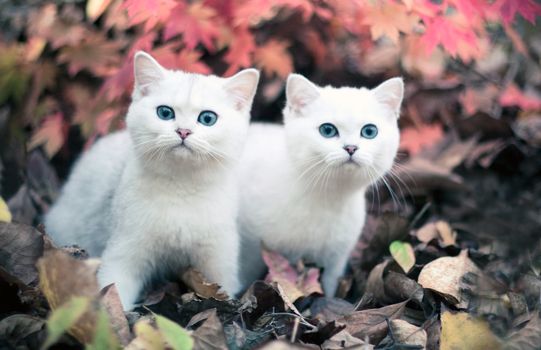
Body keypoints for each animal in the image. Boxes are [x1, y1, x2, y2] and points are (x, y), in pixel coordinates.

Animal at [44, 51, 260, 308]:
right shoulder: (125, 247)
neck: (182, 187)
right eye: (165, 113)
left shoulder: (218, 255)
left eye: (208, 118)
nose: (183, 131)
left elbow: (224, 288)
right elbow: (114, 289)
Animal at [237, 74, 400, 296]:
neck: (327, 199)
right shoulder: (250, 247)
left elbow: (329, 287)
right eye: (328, 130)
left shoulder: (335, 259)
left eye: (369, 131)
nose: (351, 147)